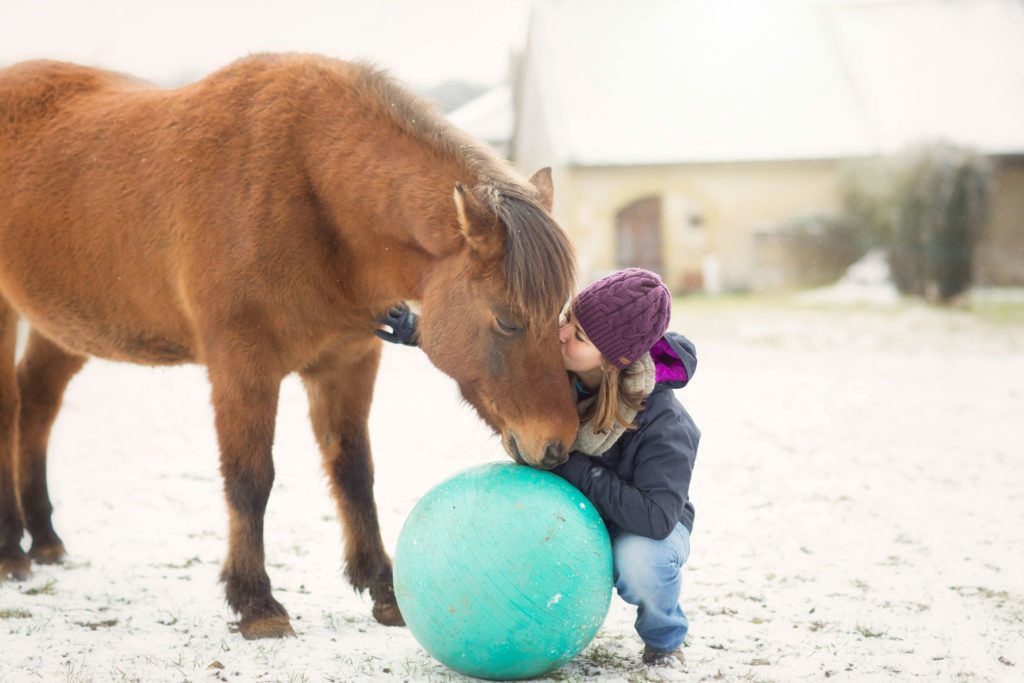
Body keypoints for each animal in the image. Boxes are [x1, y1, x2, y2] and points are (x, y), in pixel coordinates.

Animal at [0, 53, 577, 643]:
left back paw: (44, 539)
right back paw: (11, 554)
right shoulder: (242, 367)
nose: (558, 444)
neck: (306, 188)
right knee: (12, 411)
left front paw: (383, 589)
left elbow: (354, 471)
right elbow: (250, 479)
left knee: (37, 404)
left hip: (63, 326)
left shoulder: (346, 363)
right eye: (507, 320)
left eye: (561, 313)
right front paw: (256, 603)